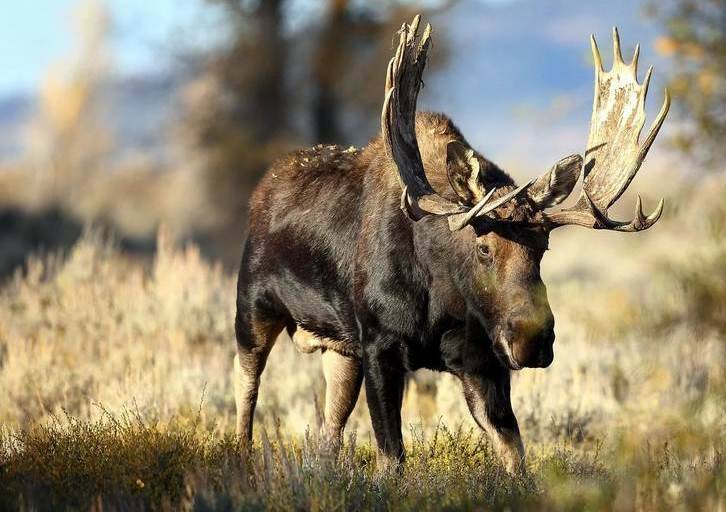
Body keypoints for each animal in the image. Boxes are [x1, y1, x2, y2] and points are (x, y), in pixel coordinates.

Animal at [235, 16, 672, 472]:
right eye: (483, 248)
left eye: (543, 249)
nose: (533, 338)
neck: (438, 300)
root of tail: (263, 188)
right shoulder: (379, 345)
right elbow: (392, 456)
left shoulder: (481, 360)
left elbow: (513, 453)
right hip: (253, 308)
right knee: (245, 387)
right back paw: (240, 455)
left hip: (338, 348)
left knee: (330, 427)